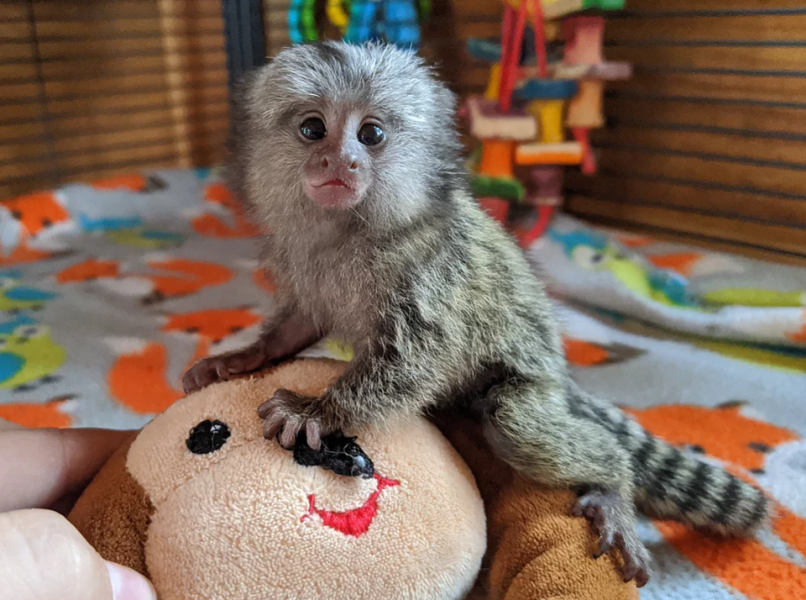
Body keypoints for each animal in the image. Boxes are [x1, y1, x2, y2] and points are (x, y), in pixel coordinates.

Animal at [183, 41, 769, 586]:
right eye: (313, 129)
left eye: (371, 135)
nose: (342, 161)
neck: (348, 233)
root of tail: (561, 376)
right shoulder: (304, 267)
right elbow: (301, 323)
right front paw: (241, 358)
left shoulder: (427, 271)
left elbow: (413, 361)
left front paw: (317, 410)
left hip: (530, 391)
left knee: (516, 421)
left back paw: (611, 488)